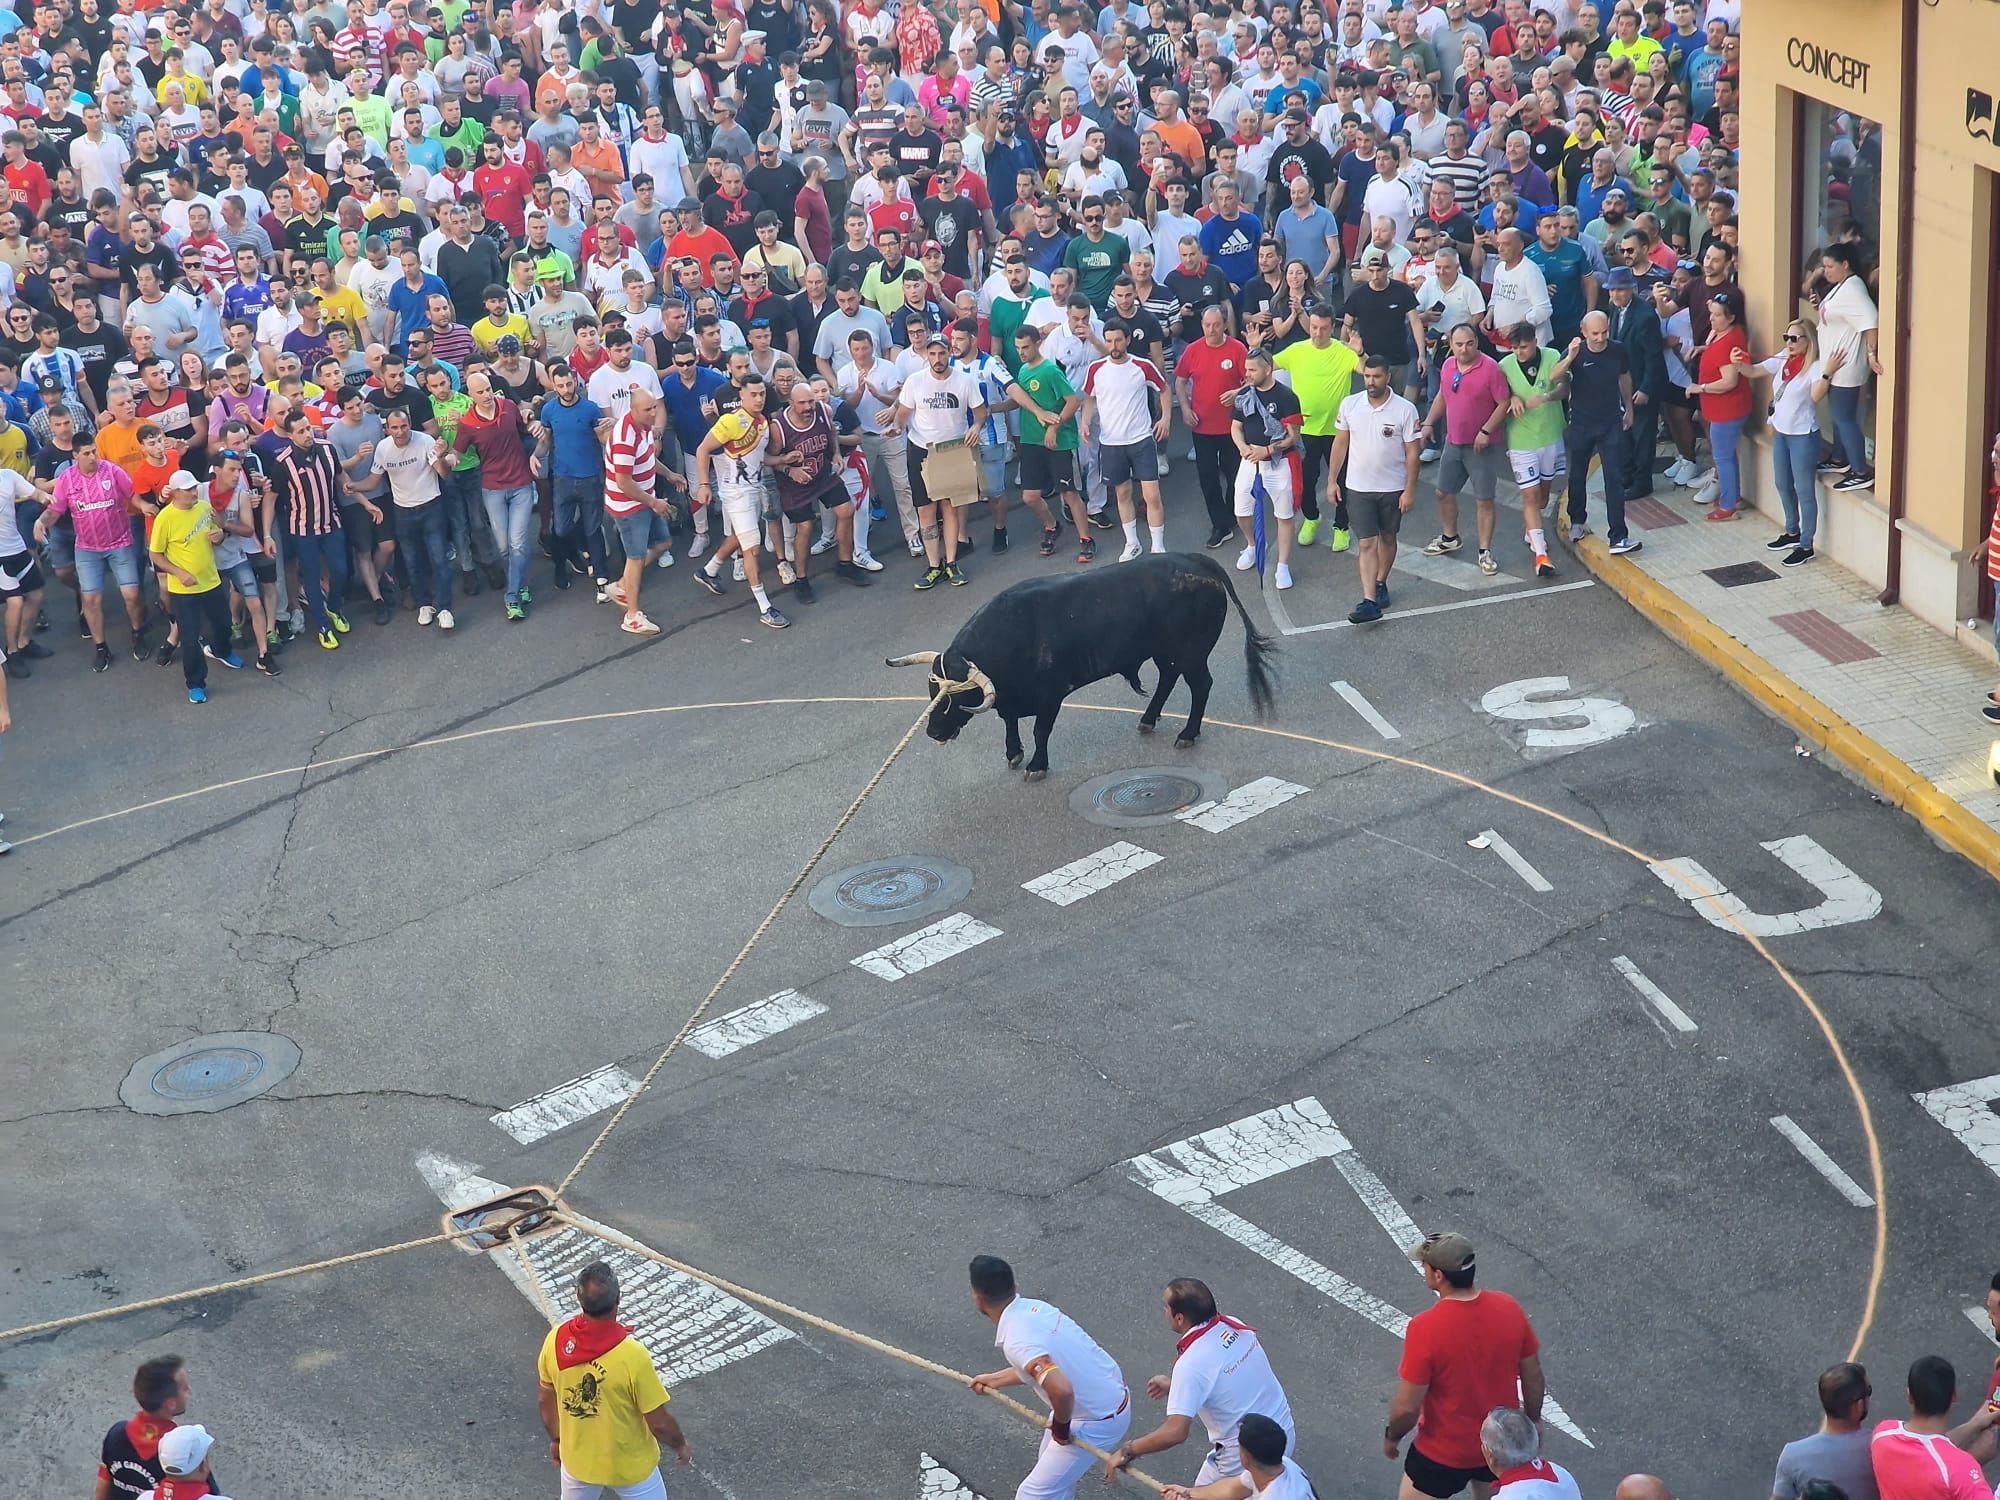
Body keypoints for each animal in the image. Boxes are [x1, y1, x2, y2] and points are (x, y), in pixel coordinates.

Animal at [888, 556, 1280, 788]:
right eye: (932, 692)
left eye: (959, 698)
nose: (933, 731)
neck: (1010, 635)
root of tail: (1196, 561)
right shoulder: (1011, 698)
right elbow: (1009, 721)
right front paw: (1013, 752)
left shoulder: (1050, 696)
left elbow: (1040, 730)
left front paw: (1036, 765)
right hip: (1165, 653)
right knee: (1168, 680)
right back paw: (1148, 719)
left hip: (1191, 653)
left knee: (1201, 685)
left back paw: (1187, 733)